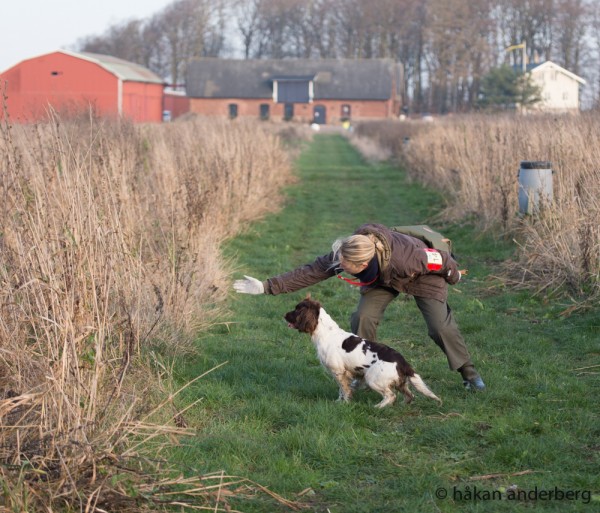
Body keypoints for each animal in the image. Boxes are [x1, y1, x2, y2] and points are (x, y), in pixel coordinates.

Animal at [282, 296, 440, 408]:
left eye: (297, 310)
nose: (284, 315)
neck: (326, 333)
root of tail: (403, 362)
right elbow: (343, 390)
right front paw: (340, 402)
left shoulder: (338, 371)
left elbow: (344, 389)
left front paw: (345, 403)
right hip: (400, 382)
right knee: (409, 395)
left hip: (372, 378)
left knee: (391, 396)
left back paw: (378, 407)